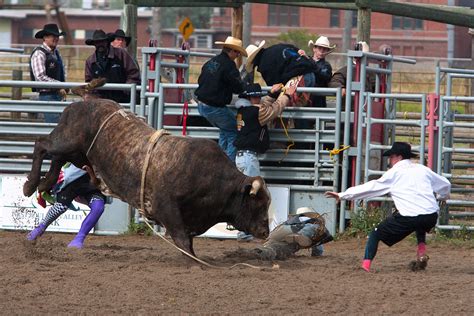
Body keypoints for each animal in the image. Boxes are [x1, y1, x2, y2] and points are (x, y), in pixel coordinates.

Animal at [23, 95, 270, 254]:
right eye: (257, 204)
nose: (266, 231)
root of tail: (77, 105)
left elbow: (187, 239)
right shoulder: (166, 206)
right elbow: (182, 240)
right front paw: (196, 264)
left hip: (77, 154)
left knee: (56, 159)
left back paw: (45, 185)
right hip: (67, 141)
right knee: (41, 144)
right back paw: (31, 185)